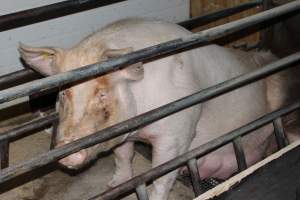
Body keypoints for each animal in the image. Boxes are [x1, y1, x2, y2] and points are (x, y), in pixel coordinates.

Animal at [18, 18, 276, 198]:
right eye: (63, 93)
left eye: (102, 94)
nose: (68, 150)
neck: (139, 128)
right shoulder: (123, 133)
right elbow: (123, 156)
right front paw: (115, 184)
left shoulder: (177, 133)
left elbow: (162, 173)